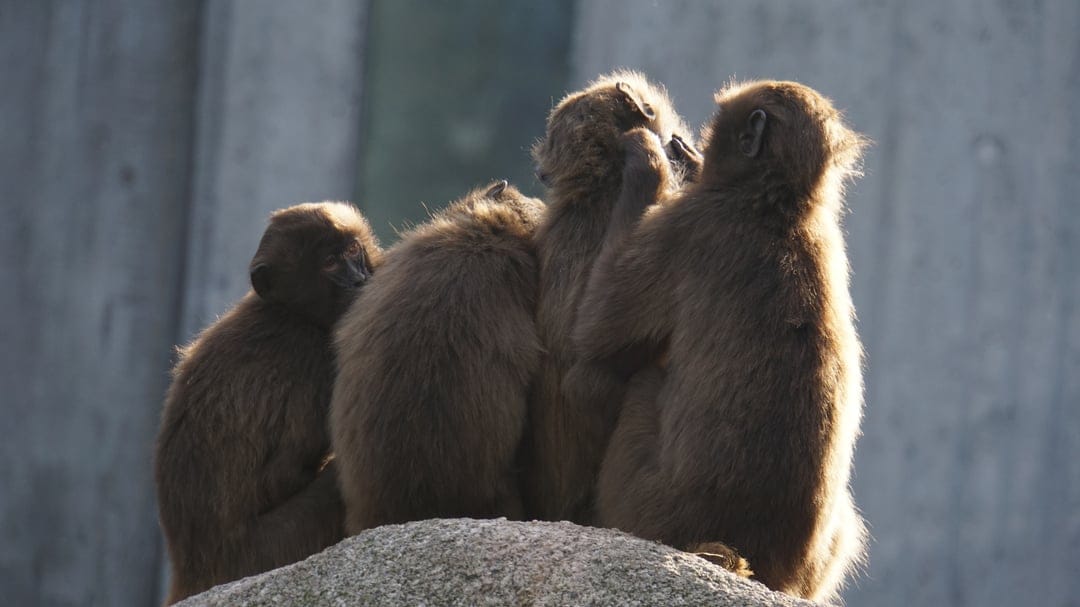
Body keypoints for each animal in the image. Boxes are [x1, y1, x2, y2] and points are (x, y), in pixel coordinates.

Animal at [154, 201, 382, 604]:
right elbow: (283, 476)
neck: (290, 313)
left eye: (353, 251)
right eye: (329, 262)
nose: (358, 280)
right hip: (270, 548)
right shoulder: (316, 359)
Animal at [573, 80, 869, 602]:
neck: (779, 205)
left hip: (644, 504)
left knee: (635, 376)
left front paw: (647, 159)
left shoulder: (690, 224)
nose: (691, 146)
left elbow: (596, 334)